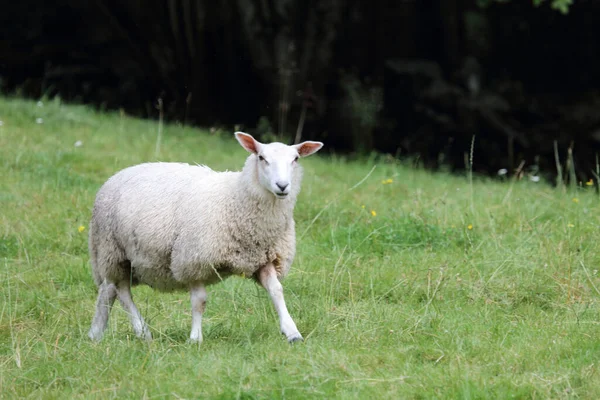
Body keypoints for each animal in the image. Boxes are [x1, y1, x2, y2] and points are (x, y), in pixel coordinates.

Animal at [86, 132, 324, 344]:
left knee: (108, 291)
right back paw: (142, 332)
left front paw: (292, 332)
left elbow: (277, 291)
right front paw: (195, 339)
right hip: (112, 250)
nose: (282, 186)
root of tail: (117, 175)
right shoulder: (193, 260)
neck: (235, 199)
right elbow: (199, 301)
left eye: (295, 159)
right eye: (261, 157)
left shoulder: (264, 257)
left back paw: (95, 333)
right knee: (122, 293)